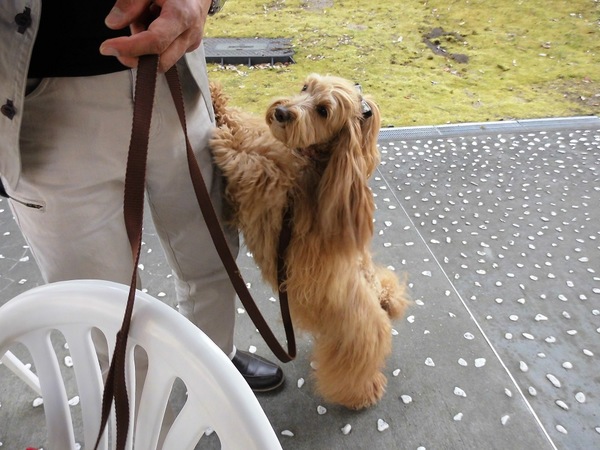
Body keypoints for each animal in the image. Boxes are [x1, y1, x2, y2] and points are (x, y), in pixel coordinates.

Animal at [209, 73, 410, 408]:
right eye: (305, 87)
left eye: (324, 111)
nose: (281, 112)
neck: (311, 163)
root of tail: (380, 302)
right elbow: (250, 127)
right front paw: (217, 100)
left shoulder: (268, 193)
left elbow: (252, 161)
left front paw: (226, 139)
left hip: (354, 342)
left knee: (355, 372)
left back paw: (363, 393)